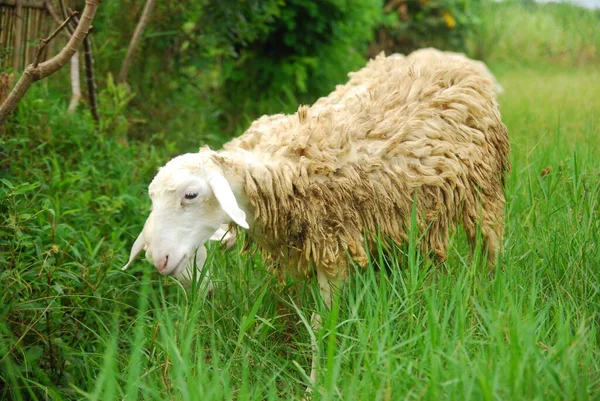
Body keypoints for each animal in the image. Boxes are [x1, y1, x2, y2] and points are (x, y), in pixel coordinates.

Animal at [122, 51, 510, 386]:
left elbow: (321, 323)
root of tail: (449, 57)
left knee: (488, 250)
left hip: (484, 192)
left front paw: (315, 382)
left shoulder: (331, 245)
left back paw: (485, 301)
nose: (159, 259)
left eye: (191, 195)